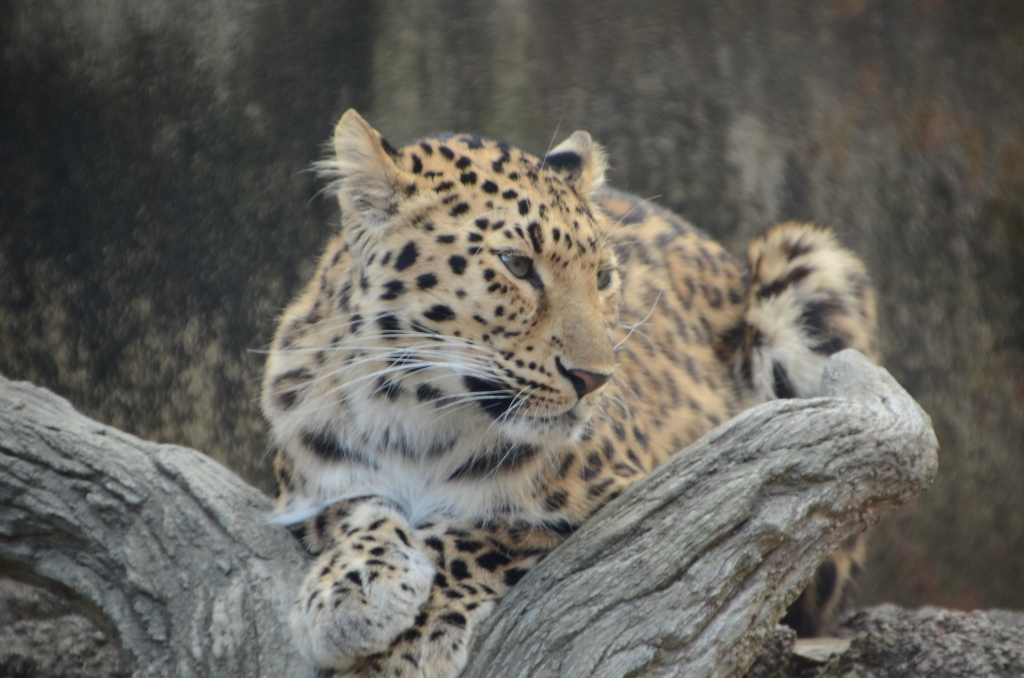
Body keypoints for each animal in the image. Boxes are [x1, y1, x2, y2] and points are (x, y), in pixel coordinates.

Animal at [260, 109, 876, 675]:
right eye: (515, 265)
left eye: (603, 277)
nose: (595, 378)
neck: (422, 416)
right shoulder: (299, 489)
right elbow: (356, 506)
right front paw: (351, 591)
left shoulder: (646, 499)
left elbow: (489, 531)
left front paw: (405, 639)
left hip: (804, 269)